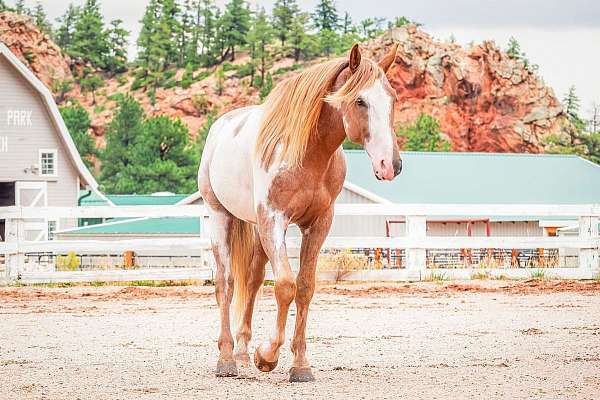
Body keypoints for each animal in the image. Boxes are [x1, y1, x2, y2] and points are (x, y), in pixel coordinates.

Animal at [198, 42, 404, 382]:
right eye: (359, 100)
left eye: (392, 99)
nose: (391, 165)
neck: (308, 153)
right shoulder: (274, 220)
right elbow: (285, 285)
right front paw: (267, 356)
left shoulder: (318, 224)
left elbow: (305, 288)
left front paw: (300, 364)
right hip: (220, 218)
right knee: (225, 284)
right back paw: (227, 358)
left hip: (256, 229)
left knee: (252, 281)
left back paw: (242, 353)